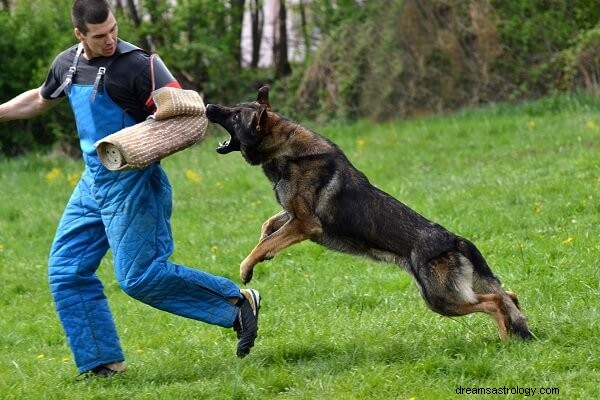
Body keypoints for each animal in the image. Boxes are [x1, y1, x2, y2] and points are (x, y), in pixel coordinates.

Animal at [205, 86, 528, 340]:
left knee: (494, 302)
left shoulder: (306, 224)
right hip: (454, 293)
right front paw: (262, 251)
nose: (208, 106)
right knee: (508, 295)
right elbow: (268, 227)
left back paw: (505, 339)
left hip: (440, 299)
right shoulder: (293, 216)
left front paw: (247, 267)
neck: (284, 148)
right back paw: (516, 332)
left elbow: (266, 242)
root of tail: (454, 239)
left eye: (235, 116)